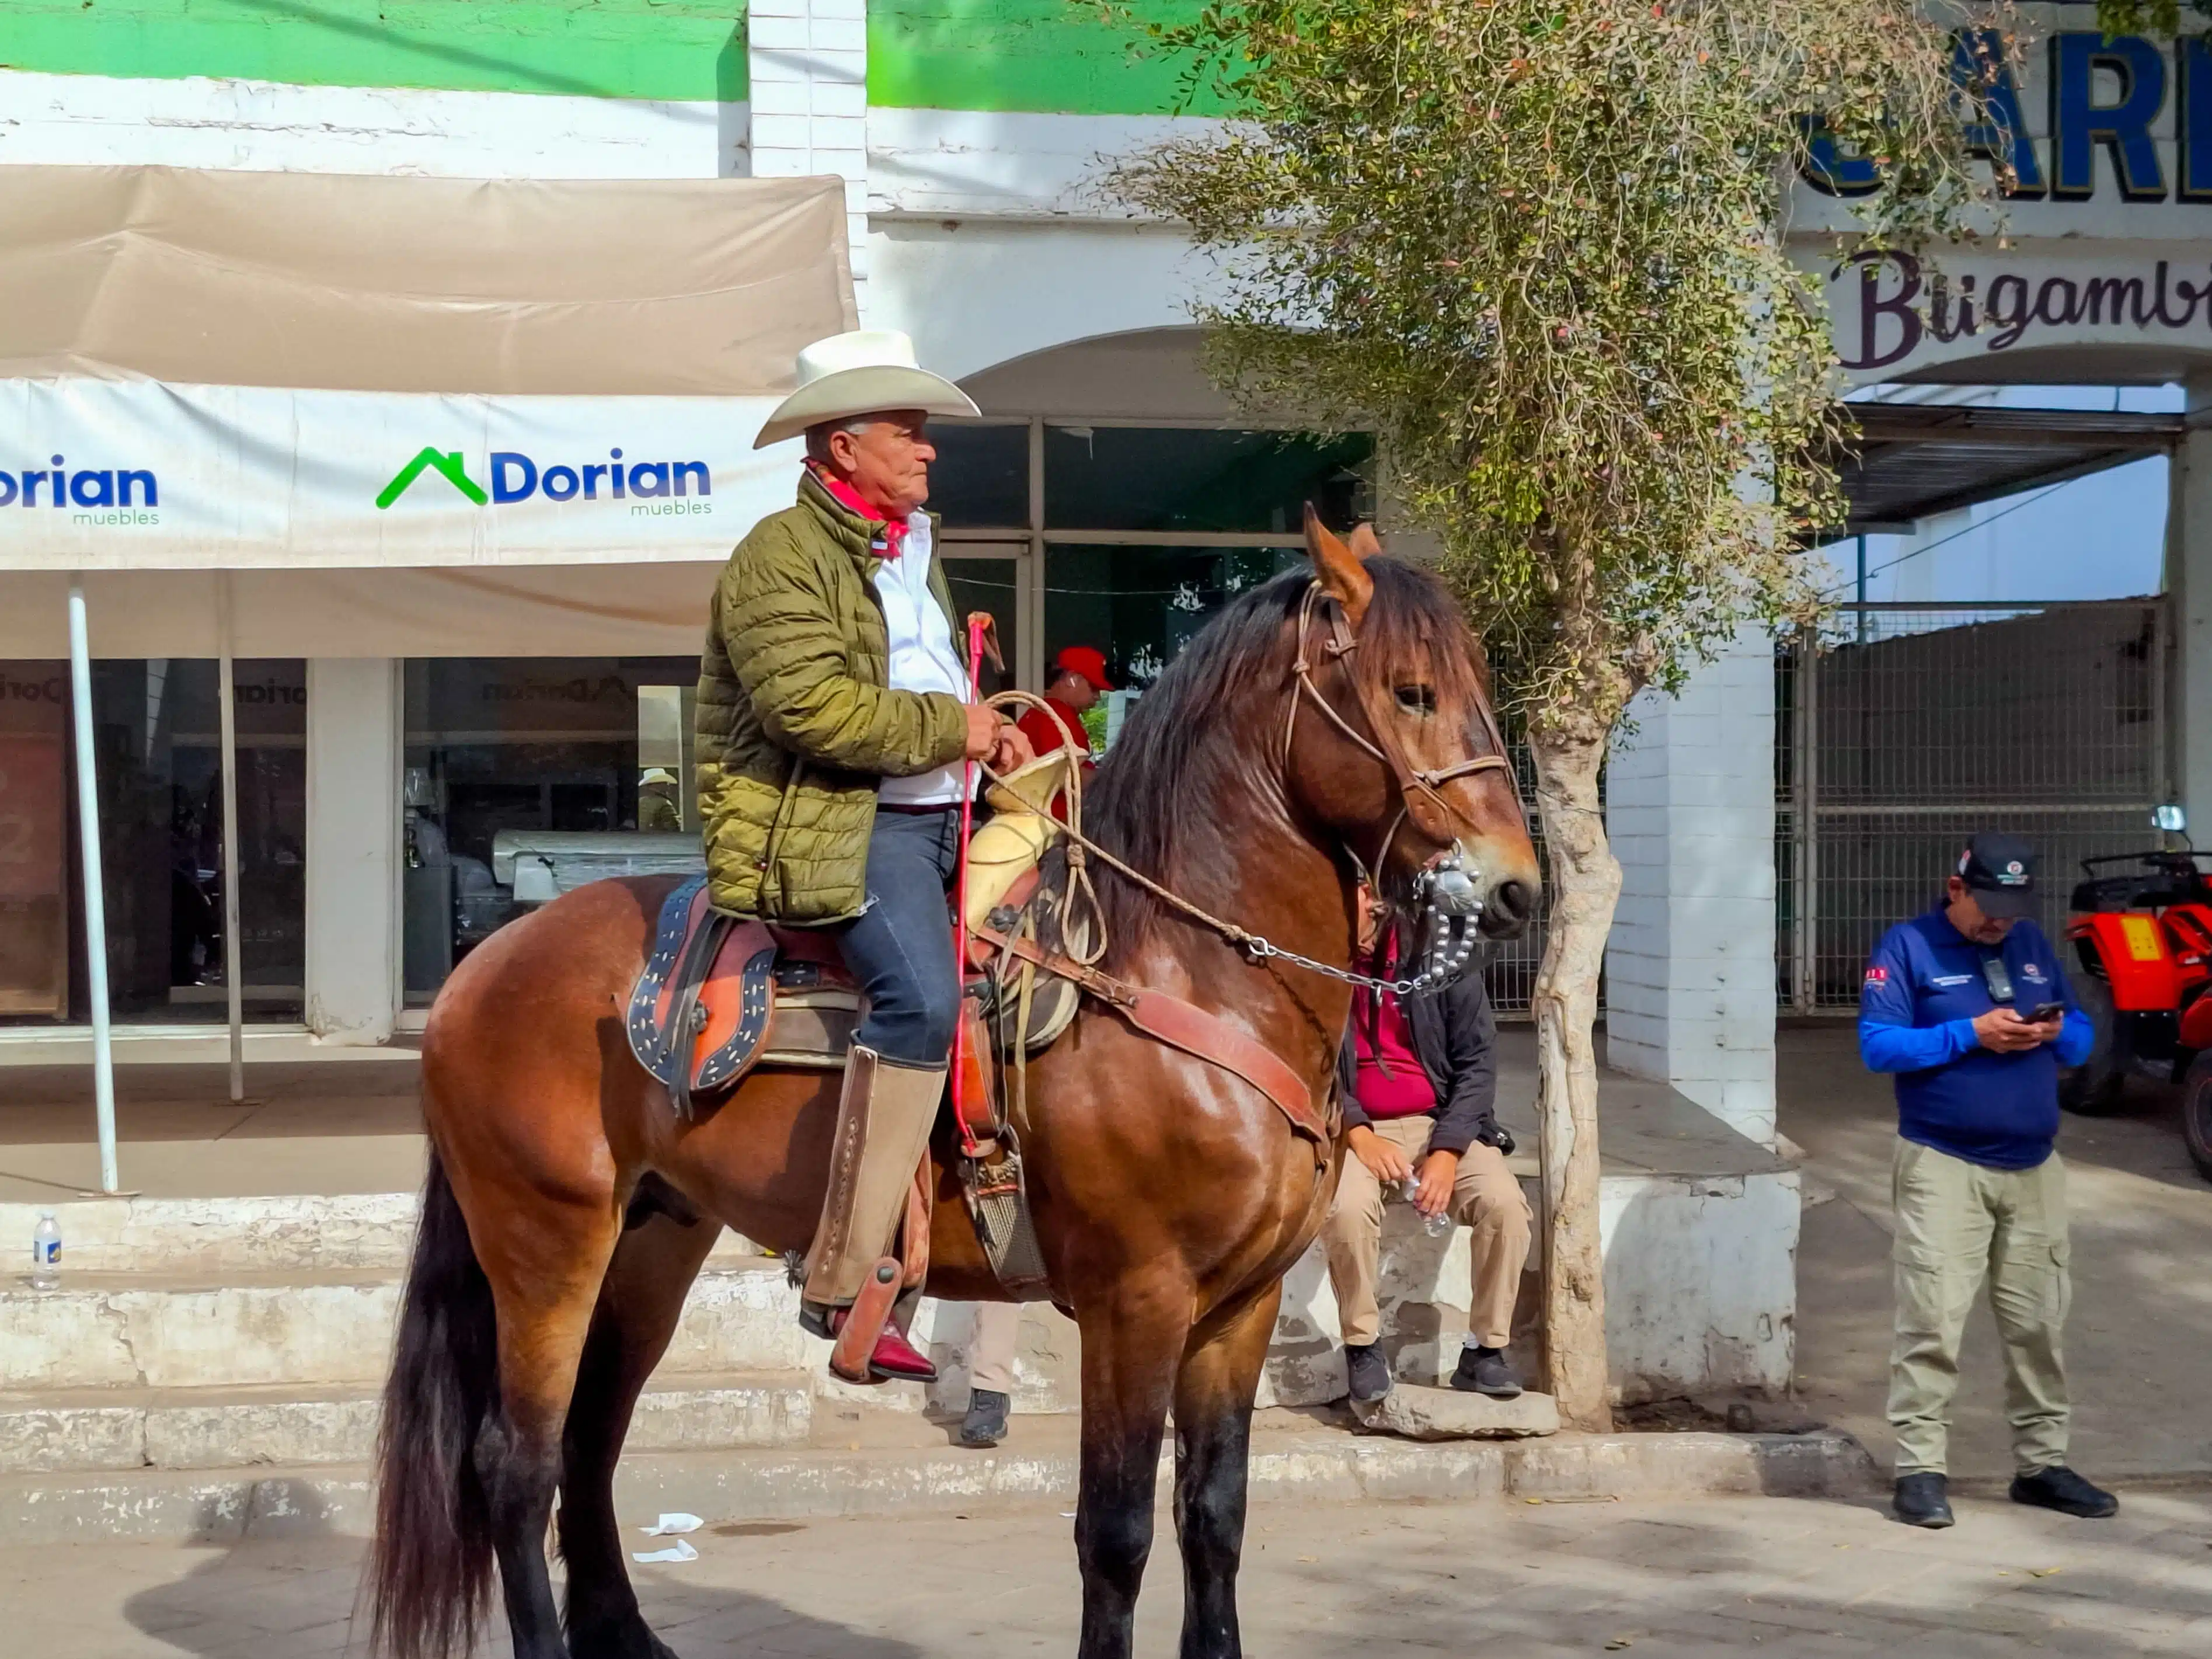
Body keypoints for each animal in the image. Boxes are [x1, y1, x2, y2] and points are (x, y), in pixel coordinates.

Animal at [367, 526, 1539, 1659]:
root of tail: (485, 966)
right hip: (545, 1244)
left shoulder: (1237, 1309)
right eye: (1409, 692)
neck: (1184, 967)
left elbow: (1213, 1519)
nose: (1516, 888)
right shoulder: (1137, 1302)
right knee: (515, 1462)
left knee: (589, 1439)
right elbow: (1114, 1534)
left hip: (656, 1238)